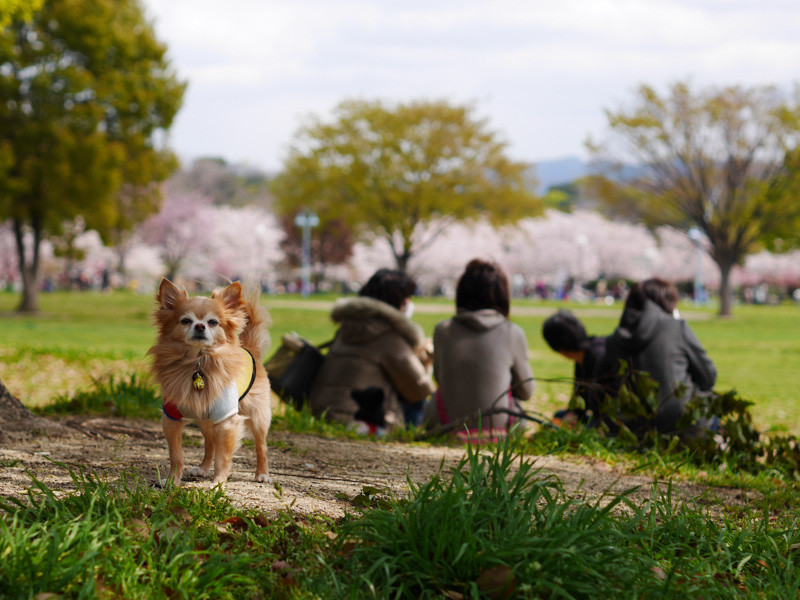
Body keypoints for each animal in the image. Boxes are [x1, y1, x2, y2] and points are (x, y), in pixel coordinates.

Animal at [148, 278, 274, 486]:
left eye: (213, 322)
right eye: (186, 320)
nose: (200, 326)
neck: (197, 362)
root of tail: (250, 349)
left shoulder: (226, 420)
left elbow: (223, 457)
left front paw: (218, 483)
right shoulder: (171, 419)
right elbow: (176, 456)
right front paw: (173, 481)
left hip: (257, 416)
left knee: (261, 445)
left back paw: (262, 473)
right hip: (204, 420)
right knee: (210, 443)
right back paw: (204, 469)